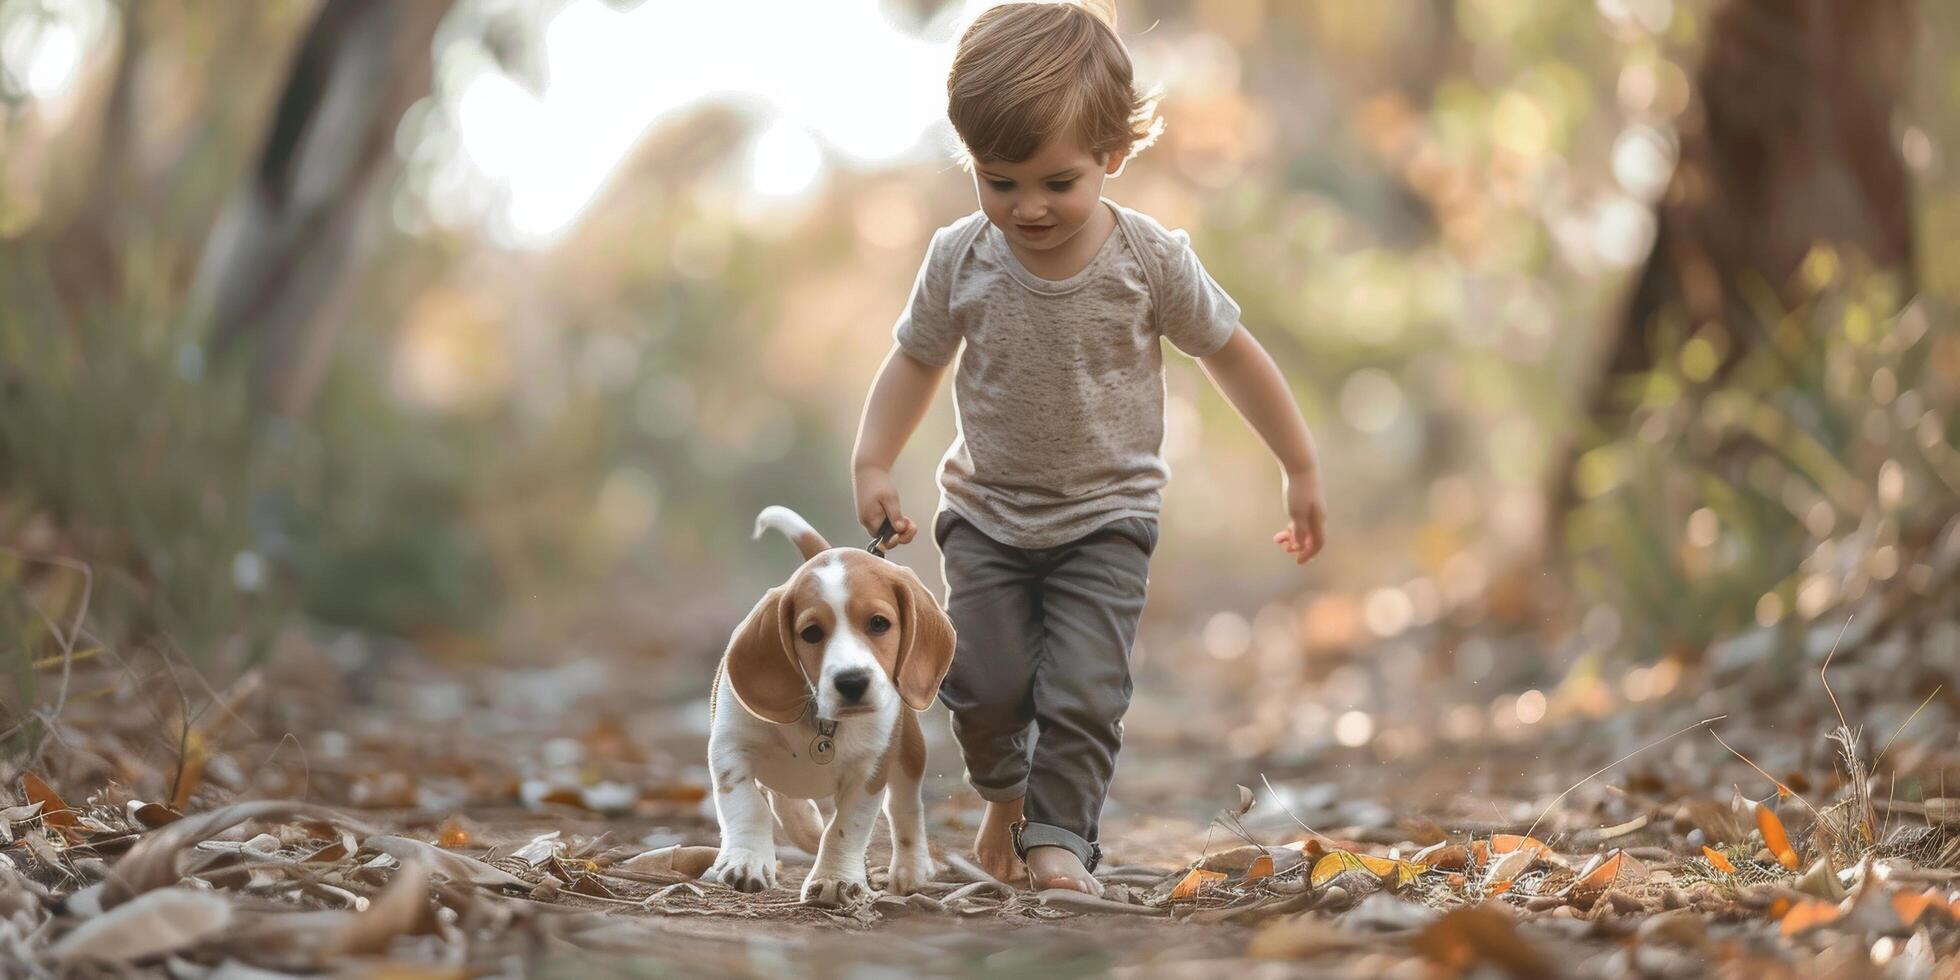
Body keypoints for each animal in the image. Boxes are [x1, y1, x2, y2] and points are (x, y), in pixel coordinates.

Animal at [705, 509, 956, 905]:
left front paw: (834, 879)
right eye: (811, 633)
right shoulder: (730, 748)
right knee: (784, 799)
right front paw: (747, 860)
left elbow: (845, 828)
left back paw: (911, 867)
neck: (819, 720)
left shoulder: (869, 772)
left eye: (879, 623)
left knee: (905, 808)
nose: (851, 681)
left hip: (910, 753)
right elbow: (747, 804)